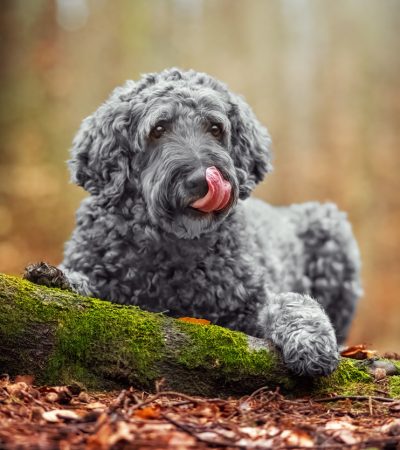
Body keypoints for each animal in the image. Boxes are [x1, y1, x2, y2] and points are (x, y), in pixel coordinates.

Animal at [25, 67, 362, 376]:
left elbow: (290, 303)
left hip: (331, 229)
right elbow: (84, 283)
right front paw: (56, 277)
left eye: (215, 128)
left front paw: (310, 339)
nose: (201, 179)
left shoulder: (248, 306)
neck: (173, 250)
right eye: (158, 128)